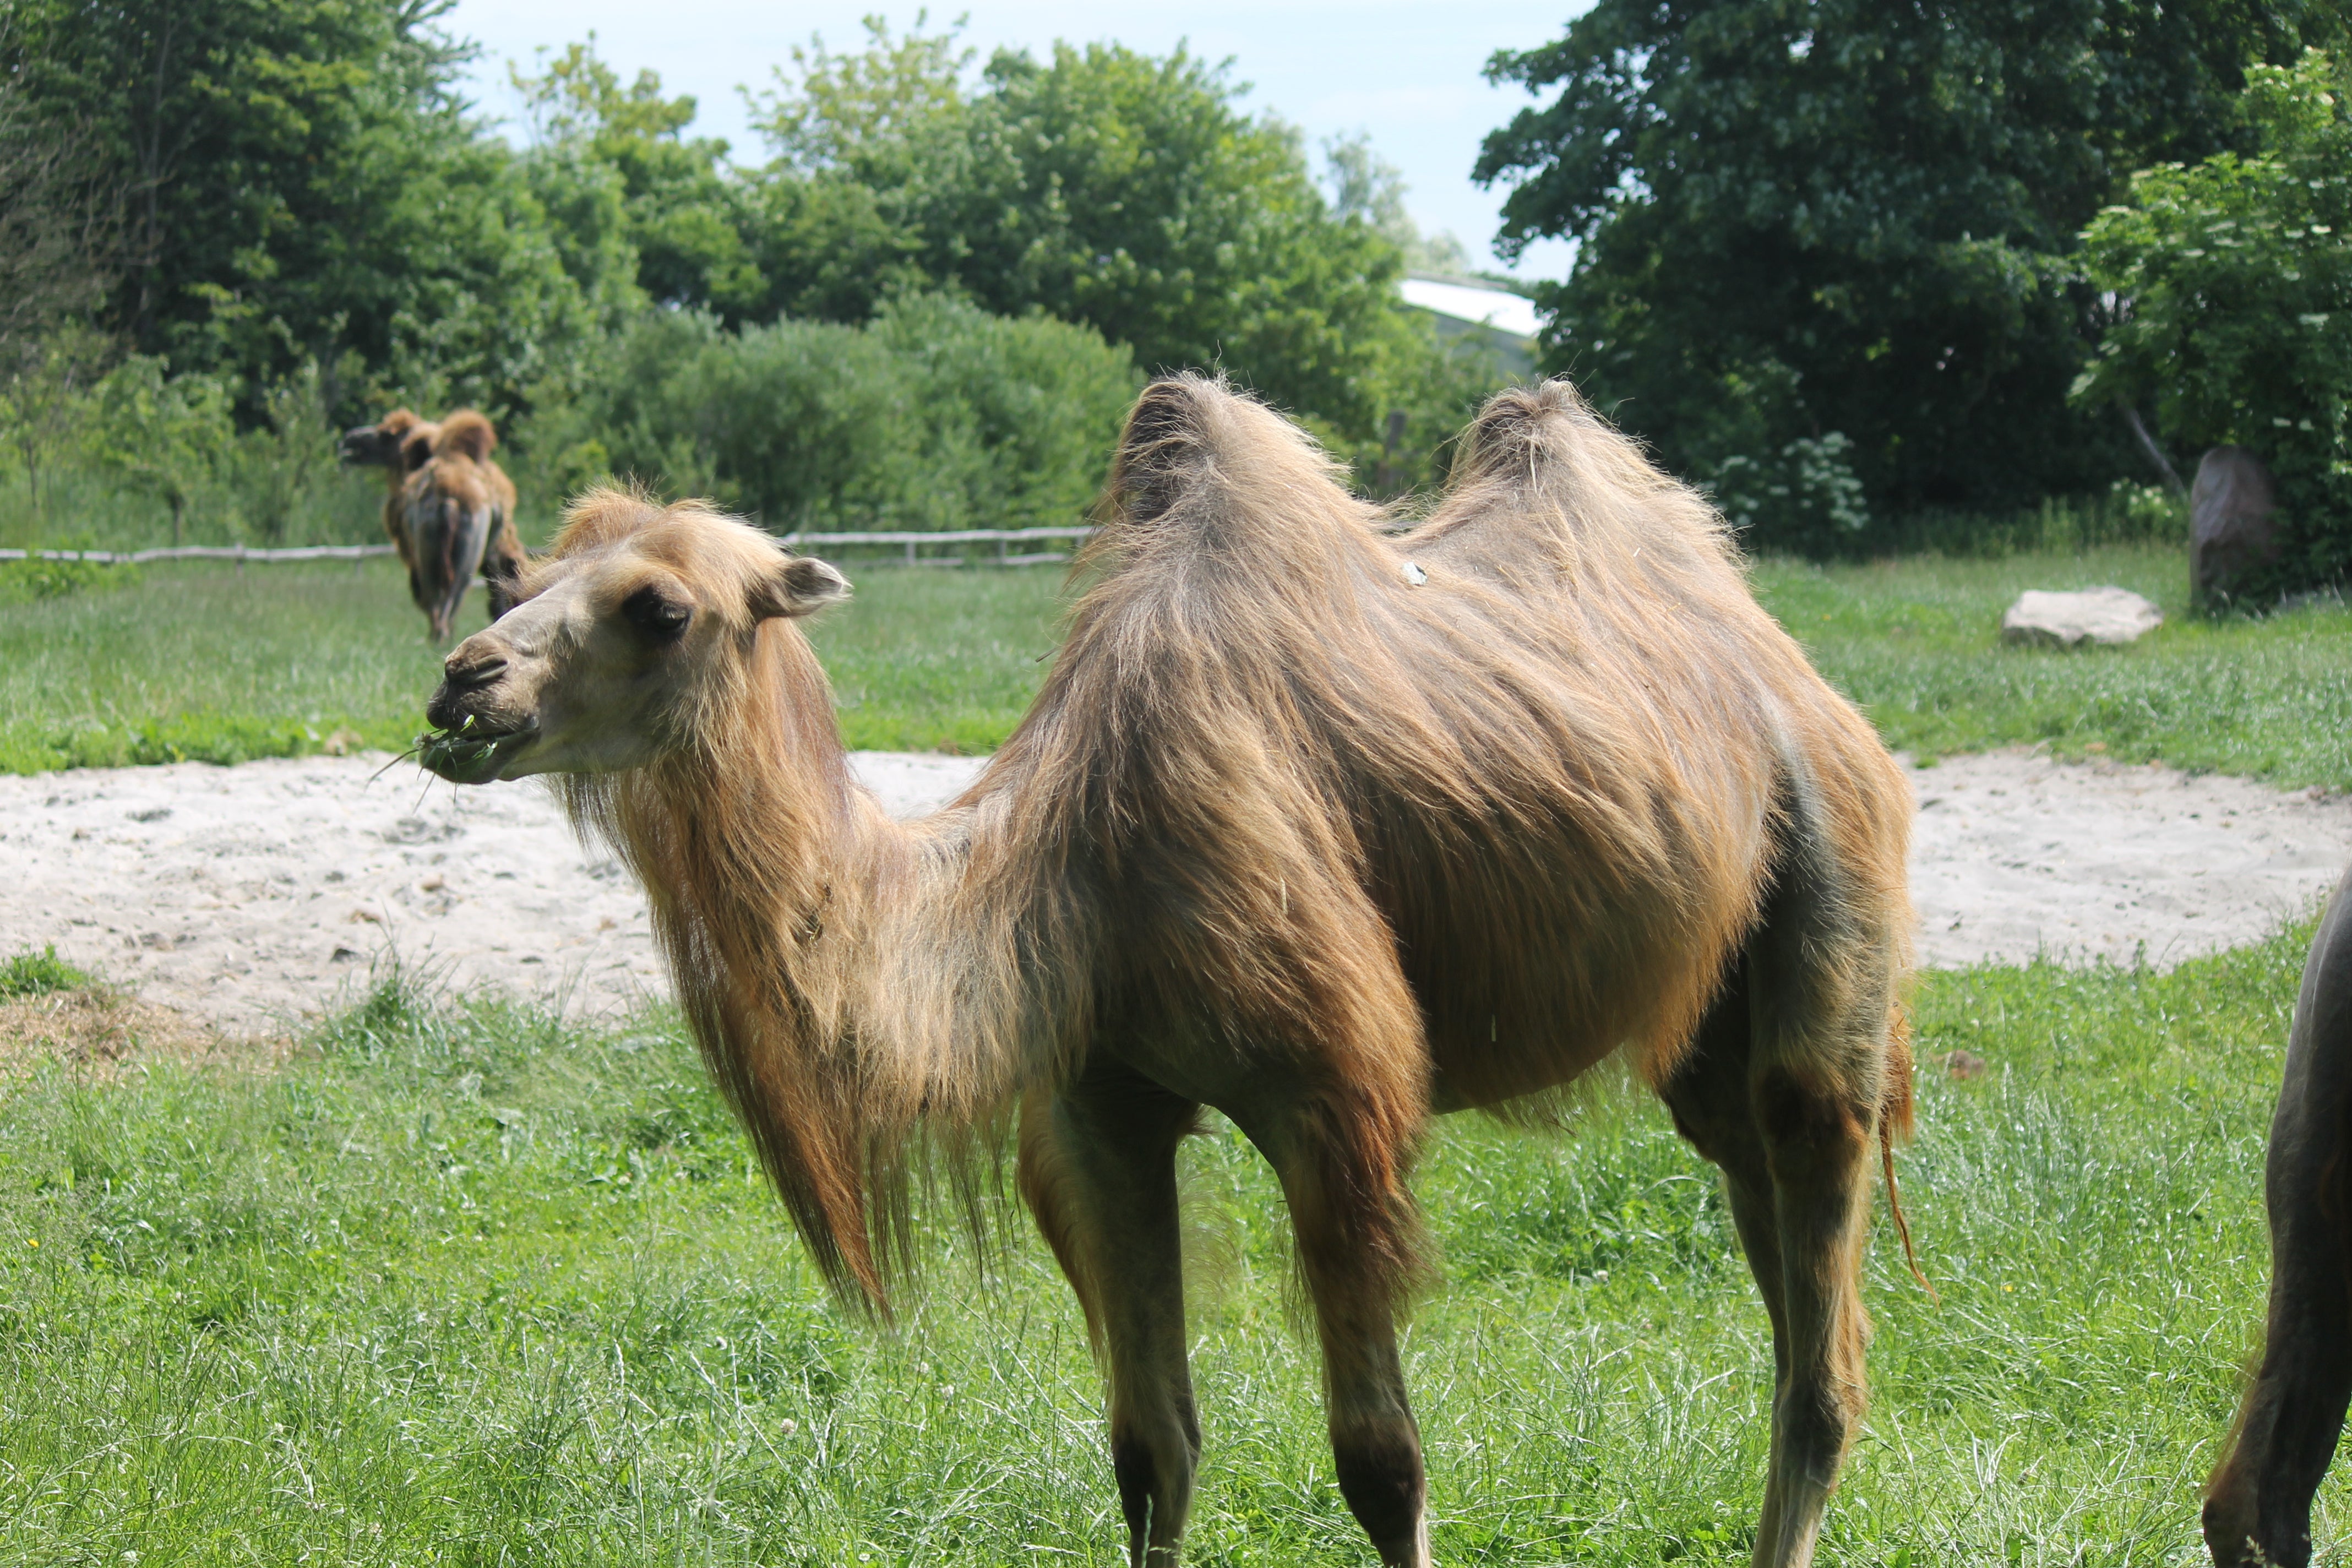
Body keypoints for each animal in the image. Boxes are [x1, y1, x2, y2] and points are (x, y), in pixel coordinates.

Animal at [413, 373, 1919, 1561]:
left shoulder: (1336, 1100)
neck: (1078, 872)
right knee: (1780, 1266)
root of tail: (1797, 675)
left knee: (1820, 1328)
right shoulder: (1100, 1110)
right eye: (527, 572)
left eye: (659, 606)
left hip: (1834, 891)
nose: (461, 686)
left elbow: (1382, 1464)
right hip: (1705, 1028)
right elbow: (1152, 1451)